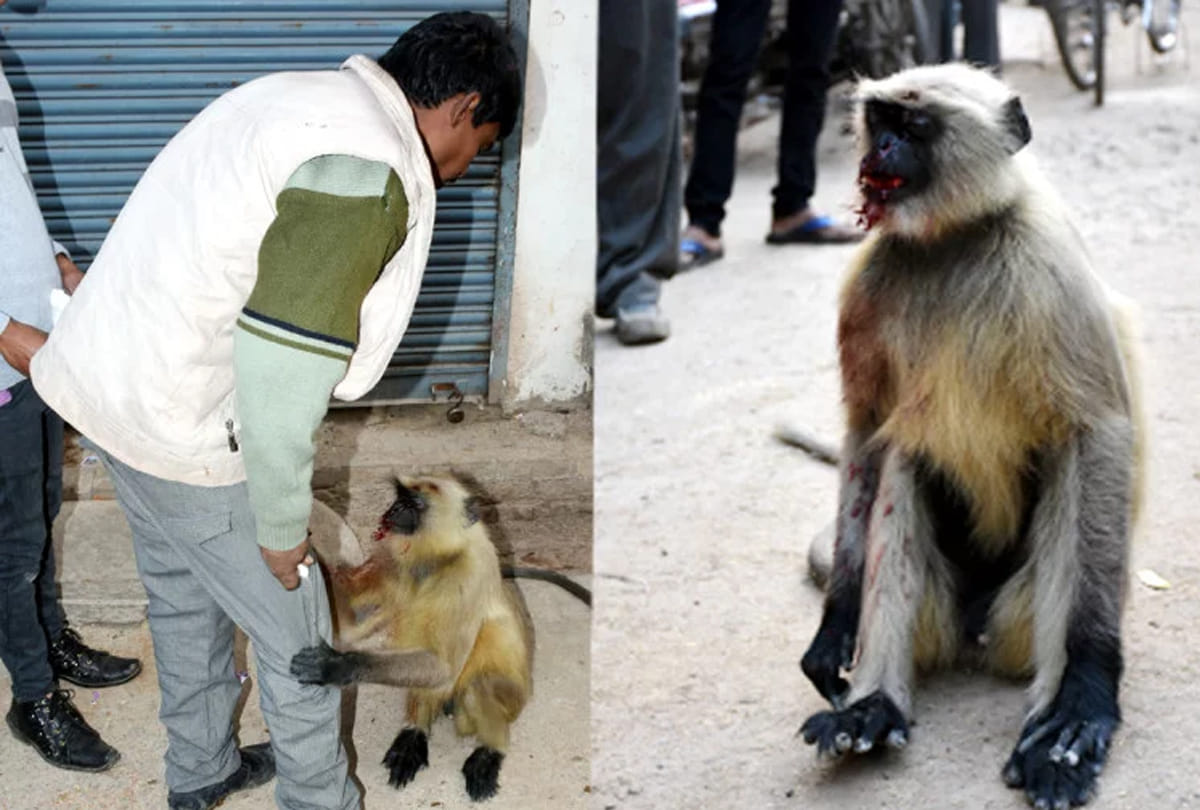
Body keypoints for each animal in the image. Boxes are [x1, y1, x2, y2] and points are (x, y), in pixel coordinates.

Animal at [290, 475, 536, 801]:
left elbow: (444, 667)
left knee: (474, 685)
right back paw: (414, 734)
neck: (438, 560)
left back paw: (490, 750)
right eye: (400, 497)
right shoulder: (391, 561)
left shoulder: (467, 576)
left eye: (415, 504)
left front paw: (337, 666)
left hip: (511, 700)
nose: (394, 509)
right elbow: (350, 625)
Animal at [797, 64, 1143, 810]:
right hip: (942, 602)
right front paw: (837, 625)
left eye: (917, 126)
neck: (949, 239)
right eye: (882, 120)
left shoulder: (1048, 262)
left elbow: (1097, 433)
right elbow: (867, 432)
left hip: (1016, 615)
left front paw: (1086, 693)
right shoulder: (870, 280)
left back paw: (1053, 725)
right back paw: (874, 709)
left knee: (1065, 472)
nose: (881, 152)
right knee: (902, 461)